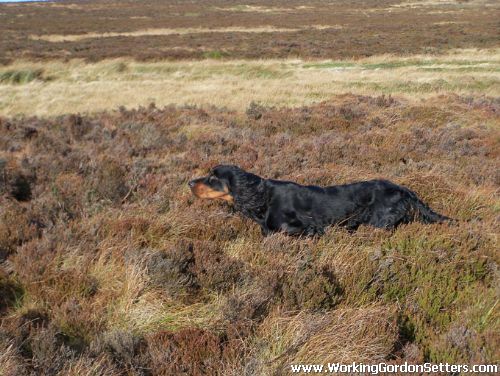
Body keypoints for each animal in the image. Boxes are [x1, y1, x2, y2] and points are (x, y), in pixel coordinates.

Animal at [188, 164, 454, 235]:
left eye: (213, 177)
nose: (189, 183)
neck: (262, 197)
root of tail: (403, 189)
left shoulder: (302, 229)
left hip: (378, 224)